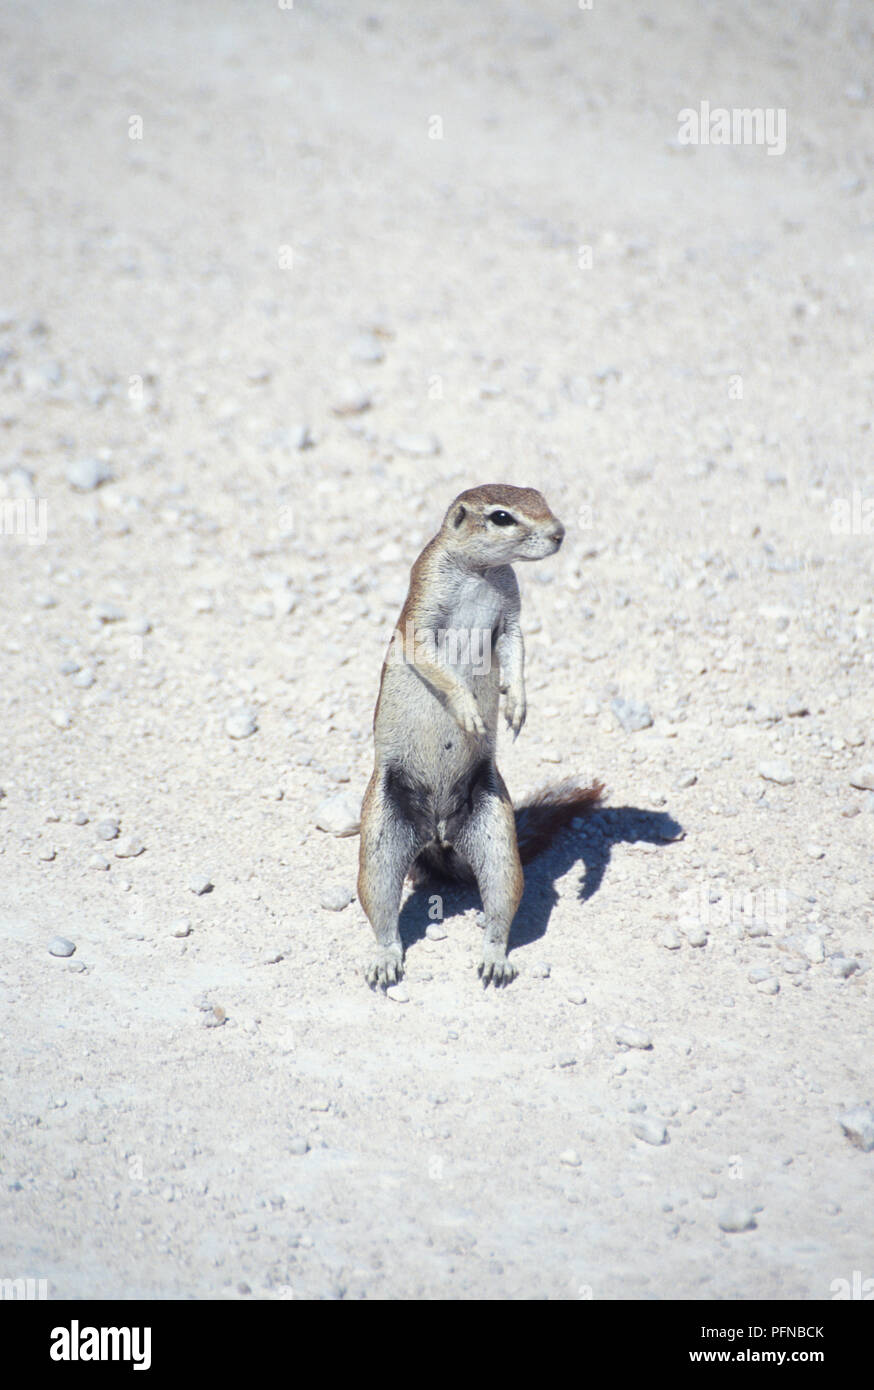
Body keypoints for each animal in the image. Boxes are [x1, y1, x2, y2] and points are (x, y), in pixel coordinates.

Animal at [357, 483, 603, 988]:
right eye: (502, 517)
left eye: (539, 496)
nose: (559, 533)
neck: (481, 573)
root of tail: (437, 835)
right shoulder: (424, 604)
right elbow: (431, 658)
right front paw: (469, 710)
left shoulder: (510, 615)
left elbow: (516, 650)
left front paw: (517, 706)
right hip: (379, 837)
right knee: (383, 911)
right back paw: (384, 959)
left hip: (497, 834)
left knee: (500, 903)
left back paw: (494, 957)